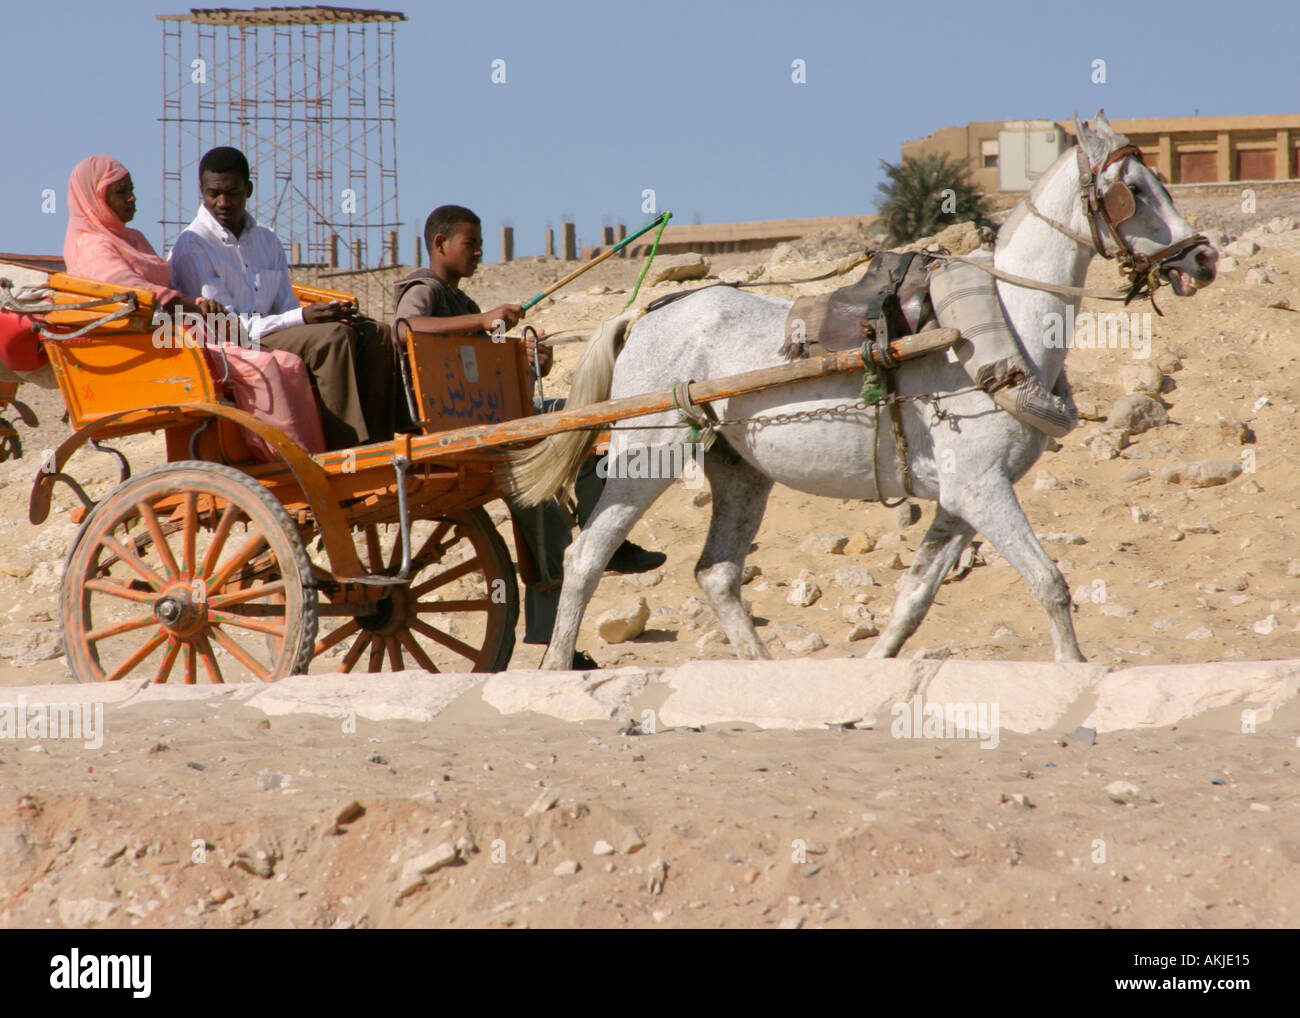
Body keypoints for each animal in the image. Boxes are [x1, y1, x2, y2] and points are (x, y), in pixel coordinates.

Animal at [509, 111, 1216, 670]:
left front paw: (876, 666)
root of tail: (647, 312)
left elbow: (914, 598)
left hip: (740, 472)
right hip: (645, 455)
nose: (1204, 259)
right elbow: (1049, 580)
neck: (999, 324)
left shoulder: (963, 496)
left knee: (717, 573)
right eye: (1133, 190)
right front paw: (1073, 668)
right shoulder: (980, 486)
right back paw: (556, 668)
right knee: (585, 556)